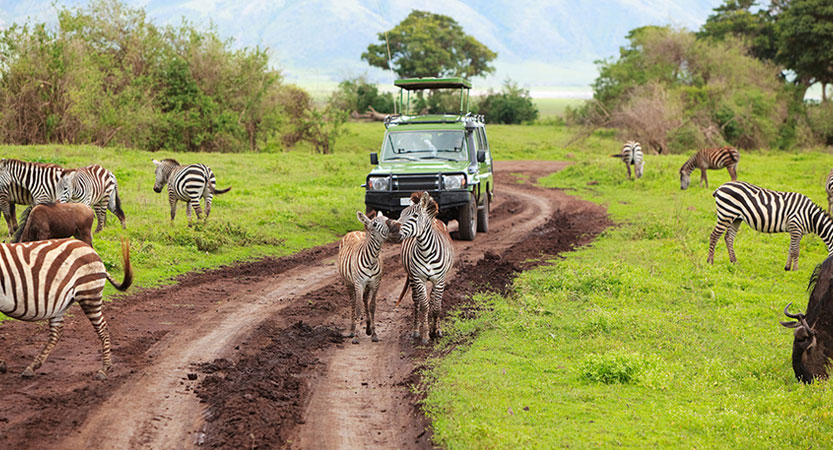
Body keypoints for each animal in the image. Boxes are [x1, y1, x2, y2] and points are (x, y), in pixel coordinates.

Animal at [0, 237, 132, 378]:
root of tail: (90, 249)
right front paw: (2, 364)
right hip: (60, 304)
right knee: (56, 333)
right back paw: (32, 367)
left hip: (89, 293)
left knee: (103, 328)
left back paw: (105, 368)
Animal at [336, 211, 398, 344]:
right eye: (374, 224)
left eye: (387, 219)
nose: (395, 227)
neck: (372, 260)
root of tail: (353, 231)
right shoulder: (359, 283)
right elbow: (358, 307)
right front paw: (356, 336)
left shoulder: (375, 283)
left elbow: (372, 306)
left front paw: (374, 333)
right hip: (348, 282)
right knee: (353, 302)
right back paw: (352, 329)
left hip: (366, 286)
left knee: (364, 300)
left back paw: (368, 327)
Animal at [396, 191, 456, 344]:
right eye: (401, 214)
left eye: (415, 216)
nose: (394, 229)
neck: (426, 251)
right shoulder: (419, 278)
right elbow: (424, 306)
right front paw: (425, 335)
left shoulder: (440, 280)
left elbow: (436, 307)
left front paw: (436, 331)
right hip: (412, 277)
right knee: (416, 301)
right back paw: (416, 330)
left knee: (434, 300)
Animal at [704, 180, 832, 270]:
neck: (810, 216)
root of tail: (721, 187)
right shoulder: (795, 226)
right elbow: (796, 250)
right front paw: (795, 270)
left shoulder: (797, 231)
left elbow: (791, 249)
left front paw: (787, 267)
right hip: (726, 213)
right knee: (714, 235)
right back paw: (710, 261)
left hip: (735, 218)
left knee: (729, 238)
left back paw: (734, 262)